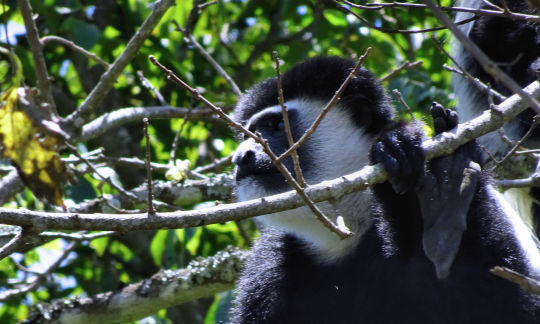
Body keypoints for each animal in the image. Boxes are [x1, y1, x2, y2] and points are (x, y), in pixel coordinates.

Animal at [229, 57, 540, 322]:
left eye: (276, 124)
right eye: (248, 134)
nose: (241, 157)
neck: (346, 235)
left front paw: (399, 147)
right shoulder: (266, 269)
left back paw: (448, 191)